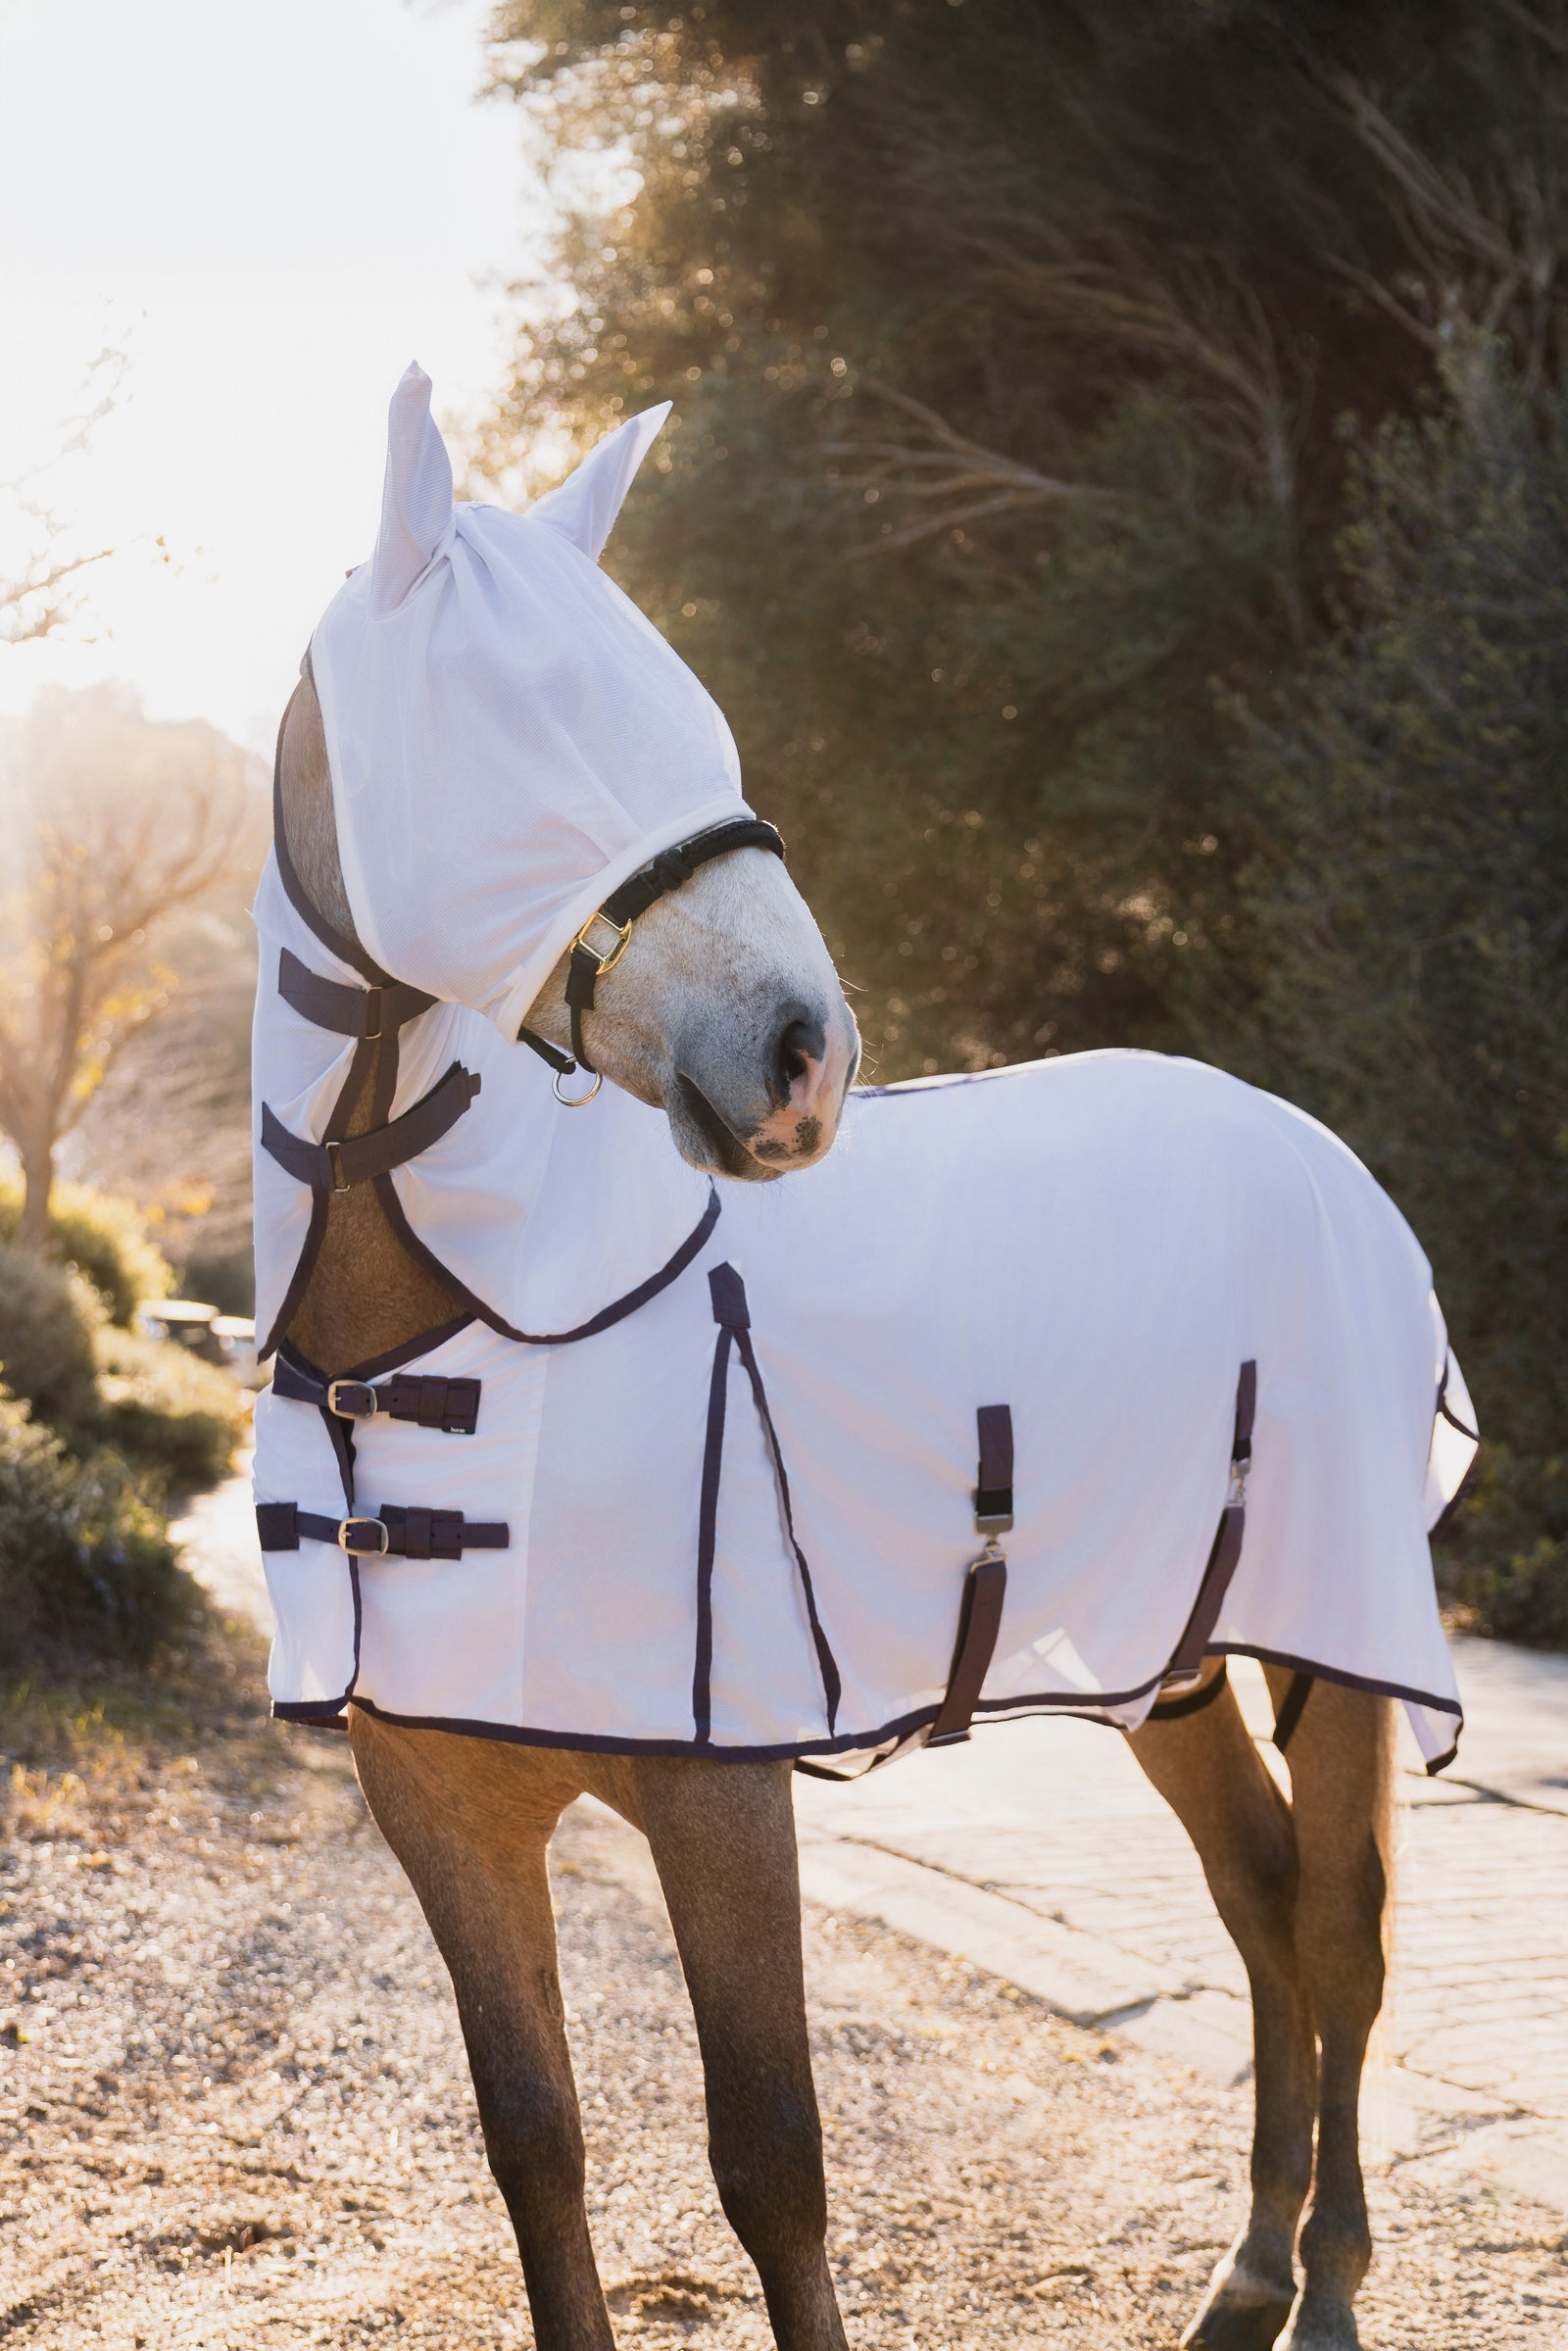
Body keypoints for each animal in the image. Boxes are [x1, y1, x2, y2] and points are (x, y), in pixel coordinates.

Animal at [258, 367, 1464, 2351]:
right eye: (524, 722)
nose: (800, 1055)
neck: (475, 1319)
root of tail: (1308, 1143)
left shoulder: (720, 1796)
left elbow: (772, 2162)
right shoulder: (442, 1812)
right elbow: (537, 2147)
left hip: (1333, 1624)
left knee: (1343, 1927)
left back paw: (1335, 2291)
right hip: (1173, 1651)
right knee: (1258, 1888)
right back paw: (1246, 2271)